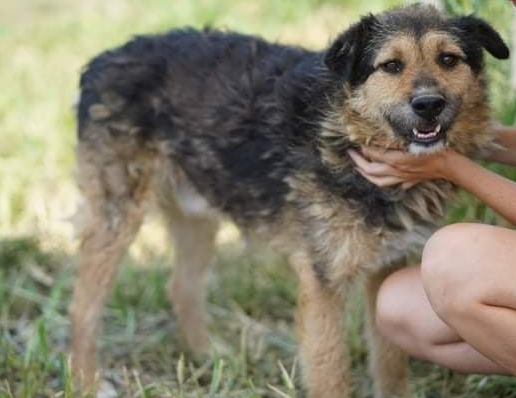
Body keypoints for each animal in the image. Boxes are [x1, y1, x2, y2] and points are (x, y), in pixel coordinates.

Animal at [70, 3, 510, 398]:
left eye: (448, 59)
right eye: (391, 66)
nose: (428, 104)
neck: (339, 131)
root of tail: (102, 60)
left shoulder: (387, 268)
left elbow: (390, 365)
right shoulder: (322, 282)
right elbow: (331, 374)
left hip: (196, 216)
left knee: (182, 287)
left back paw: (210, 358)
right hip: (116, 216)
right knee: (84, 307)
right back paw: (87, 383)